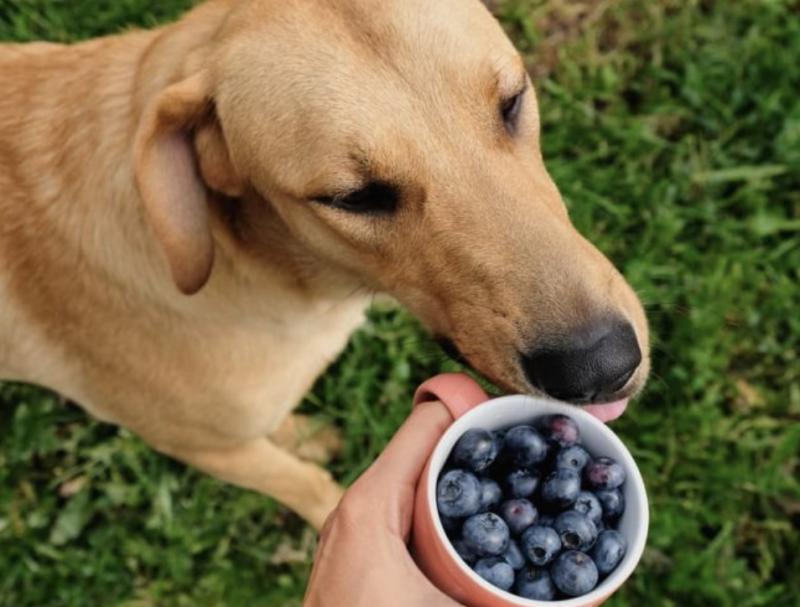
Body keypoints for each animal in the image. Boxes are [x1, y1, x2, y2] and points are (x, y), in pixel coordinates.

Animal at [0, 0, 648, 532]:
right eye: (353, 198)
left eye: (511, 101)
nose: (602, 367)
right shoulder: (202, 447)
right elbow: (307, 486)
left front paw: (302, 435)